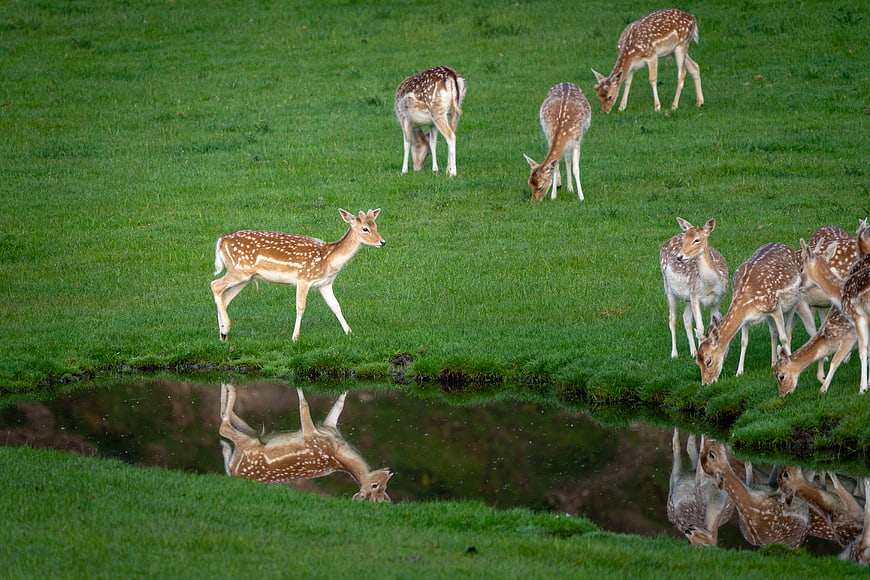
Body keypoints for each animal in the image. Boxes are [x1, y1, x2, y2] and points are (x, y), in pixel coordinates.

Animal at [211, 208, 385, 342]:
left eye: (376, 225)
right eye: (365, 228)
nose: (382, 242)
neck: (328, 259)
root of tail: (220, 241)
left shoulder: (325, 283)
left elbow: (335, 306)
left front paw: (349, 332)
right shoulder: (304, 278)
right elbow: (300, 307)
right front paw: (295, 337)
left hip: (246, 277)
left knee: (225, 296)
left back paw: (223, 336)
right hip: (239, 270)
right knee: (215, 285)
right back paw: (225, 330)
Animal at [218, 384, 393, 502]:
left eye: (383, 486)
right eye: (376, 485)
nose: (390, 472)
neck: (337, 452)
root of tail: (235, 471)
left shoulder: (313, 433)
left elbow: (305, 405)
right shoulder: (327, 427)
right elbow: (337, 404)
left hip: (250, 443)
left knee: (223, 428)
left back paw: (230, 388)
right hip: (252, 438)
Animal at [660, 217, 729, 358]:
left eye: (697, 239)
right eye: (684, 239)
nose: (679, 256)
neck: (709, 286)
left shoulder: (719, 298)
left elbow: (712, 326)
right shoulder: (695, 296)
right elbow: (700, 326)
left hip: (687, 297)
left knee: (686, 318)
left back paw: (693, 351)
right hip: (668, 286)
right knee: (672, 318)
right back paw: (674, 353)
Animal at [695, 242, 816, 385]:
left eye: (708, 361)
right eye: (697, 361)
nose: (705, 383)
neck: (747, 302)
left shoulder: (775, 307)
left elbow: (783, 337)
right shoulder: (746, 319)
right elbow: (744, 341)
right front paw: (739, 372)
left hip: (793, 301)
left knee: (788, 329)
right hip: (768, 315)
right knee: (773, 331)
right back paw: (773, 362)